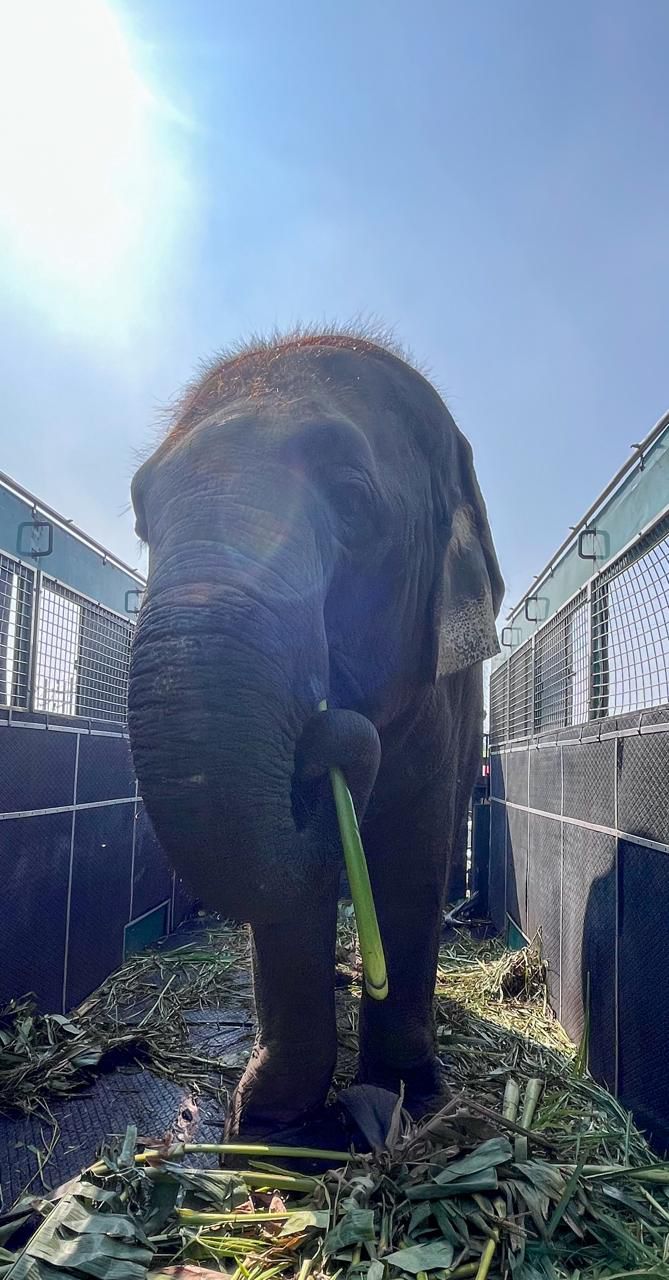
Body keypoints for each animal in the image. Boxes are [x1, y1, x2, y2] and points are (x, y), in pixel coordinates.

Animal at [127, 325, 501, 1146]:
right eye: (140, 519)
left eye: (354, 502)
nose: (329, 730)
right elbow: (285, 895)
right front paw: (271, 1121)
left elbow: (414, 854)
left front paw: (402, 1098)